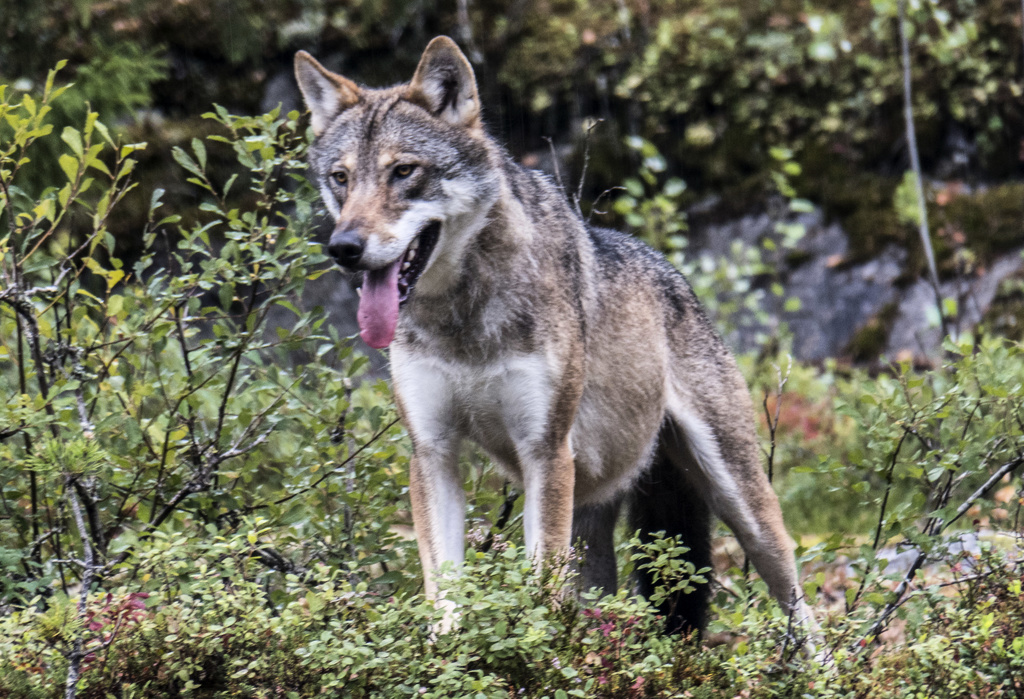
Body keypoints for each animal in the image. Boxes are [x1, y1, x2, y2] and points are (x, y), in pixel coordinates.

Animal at [292, 34, 811, 634]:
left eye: (403, 171)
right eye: (341, 178)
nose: (344, 247)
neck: (462, 318)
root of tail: (675, 275)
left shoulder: (544, 451)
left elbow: (540, 591)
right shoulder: (433, 452)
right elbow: (444, 589)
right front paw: (445, 647)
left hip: (740, 502)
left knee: (797, 600)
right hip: (595, 527)